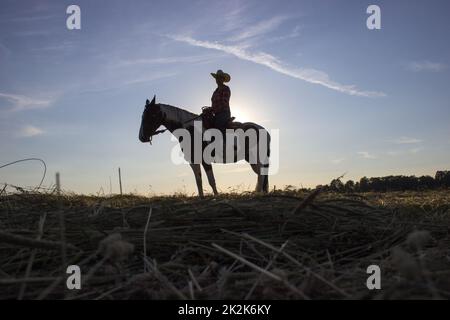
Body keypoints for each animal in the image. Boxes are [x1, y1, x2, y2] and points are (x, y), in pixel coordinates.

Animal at [139, 95, 268, 196]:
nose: (142, 137)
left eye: (151, 115)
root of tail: (264, 130)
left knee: (262, 174)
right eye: (143, 116)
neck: (190, 130)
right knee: (261, 174)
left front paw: (216, 196)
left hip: (258, 157)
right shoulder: (193, 161)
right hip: (251, 159)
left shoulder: (205, 160)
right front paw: (201, 197)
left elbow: (211, 180)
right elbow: (198, 180)